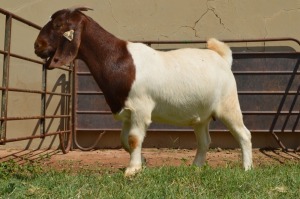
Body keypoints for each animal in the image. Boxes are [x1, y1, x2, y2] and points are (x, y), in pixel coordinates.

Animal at [34, 7, 252, 176]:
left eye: (58, 25)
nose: (37, 46)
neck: (119, 59)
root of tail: (222, 58)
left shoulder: (140, 108)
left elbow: (134, 138)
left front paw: (132, 170)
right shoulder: (127, 112)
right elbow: (124, 139)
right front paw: (142, 162)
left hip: (228, 105)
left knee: (244, 134)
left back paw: (247, 168)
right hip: (201, 116)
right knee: (204, 141)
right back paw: (195, 167)